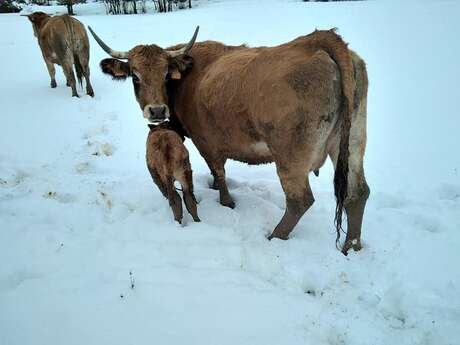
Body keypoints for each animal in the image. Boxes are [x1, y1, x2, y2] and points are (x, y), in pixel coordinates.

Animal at [89, 24, 370, 253]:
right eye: (135, 77)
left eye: (166, 74)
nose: (157, 110)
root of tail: (318, 40)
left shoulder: (205, 141)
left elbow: (219, 171)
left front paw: (226, 201)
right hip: (352, 143)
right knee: (357, 193)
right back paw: (352, 246)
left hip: (291, 158)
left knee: (300, 201)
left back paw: (274, 237)